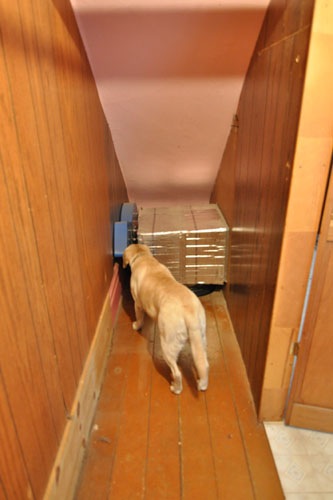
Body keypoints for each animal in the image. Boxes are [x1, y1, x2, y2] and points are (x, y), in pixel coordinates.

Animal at [122, 243, 208, 394]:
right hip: (201, 337)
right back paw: (202, 384)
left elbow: (139, 317)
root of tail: (189, 313)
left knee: (177, 372)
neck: (143, 256)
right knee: (205, 364)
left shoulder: (137, 303)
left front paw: (136, 325)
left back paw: (176, 388)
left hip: (167, 343)